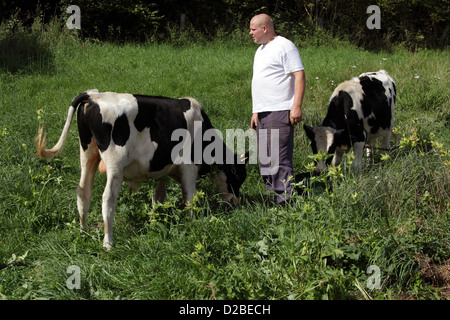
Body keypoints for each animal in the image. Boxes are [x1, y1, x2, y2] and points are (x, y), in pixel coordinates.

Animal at [36, 90, 248, 250]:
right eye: (237, 176)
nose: (236, 202)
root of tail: (94, 95)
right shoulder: (189, 166)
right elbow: (189, 197)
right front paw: (193, 223)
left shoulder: (160, 167)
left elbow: (158, 196)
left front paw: (156, 219)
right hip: (115, 163)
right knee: (108, 199)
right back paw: (108, 242)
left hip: (87, 153)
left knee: (83, 192)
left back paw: (83, 230)